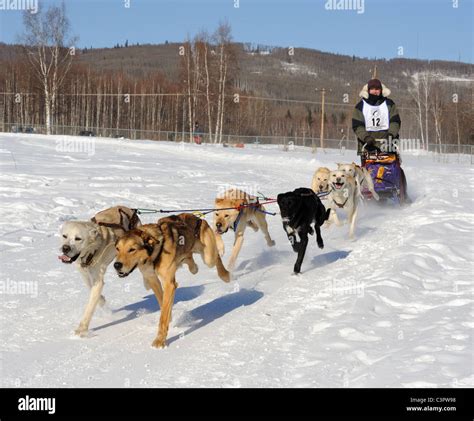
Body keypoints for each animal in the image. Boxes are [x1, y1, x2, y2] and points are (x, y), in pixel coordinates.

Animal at [58, 205, 140, 336]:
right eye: (64, 236)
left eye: (78, 238)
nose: (65, 248)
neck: (92, 250)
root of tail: (129, 209)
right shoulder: (85, 273)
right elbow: (92, 289)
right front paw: (101, 300)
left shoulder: (98, 279)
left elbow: (90, 306)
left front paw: (82, 329)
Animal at [114, 213, 231, 348]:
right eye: (117, 249)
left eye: (132, 249)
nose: (116, 265)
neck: (156, 251)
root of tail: (197, 217)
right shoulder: (152, 279)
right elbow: (162, 301)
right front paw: (169, 316)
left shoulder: (169, 284)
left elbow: (163, 315)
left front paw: (160, 340)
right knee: (190, 261)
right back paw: (193, 266)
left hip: (208, 257)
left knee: (216, 257)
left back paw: (225, 274)